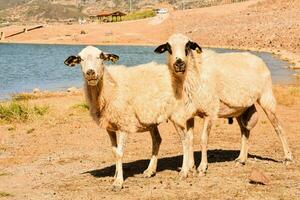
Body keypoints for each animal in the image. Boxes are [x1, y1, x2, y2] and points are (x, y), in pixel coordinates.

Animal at [63, 45, 192, 191]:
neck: (109, 87)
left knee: (185, 140)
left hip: (177, 114)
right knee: (157, 140)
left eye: (101, 56)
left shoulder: (123, 124)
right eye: (80, 59)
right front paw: (115, 176)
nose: (90, 73)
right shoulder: (110, 127)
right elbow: (114, 152)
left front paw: (118, 182)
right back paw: (150, 171)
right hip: (150, 118)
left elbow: (120, 153)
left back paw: (184, 171)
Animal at [155, 33, 292, 176]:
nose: (179, 63)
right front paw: (191, 166)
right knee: (245, 131)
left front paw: (202, 167)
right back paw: (241, 159)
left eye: (188, 46)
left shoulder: (210, 111)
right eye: (168, 47)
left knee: (278, 127)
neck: (196, 72)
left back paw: (287, 158)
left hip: (266, 97)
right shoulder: (190, 112)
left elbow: (203, 139)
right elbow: (190, 139)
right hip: (240, 108)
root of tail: (258, 59)